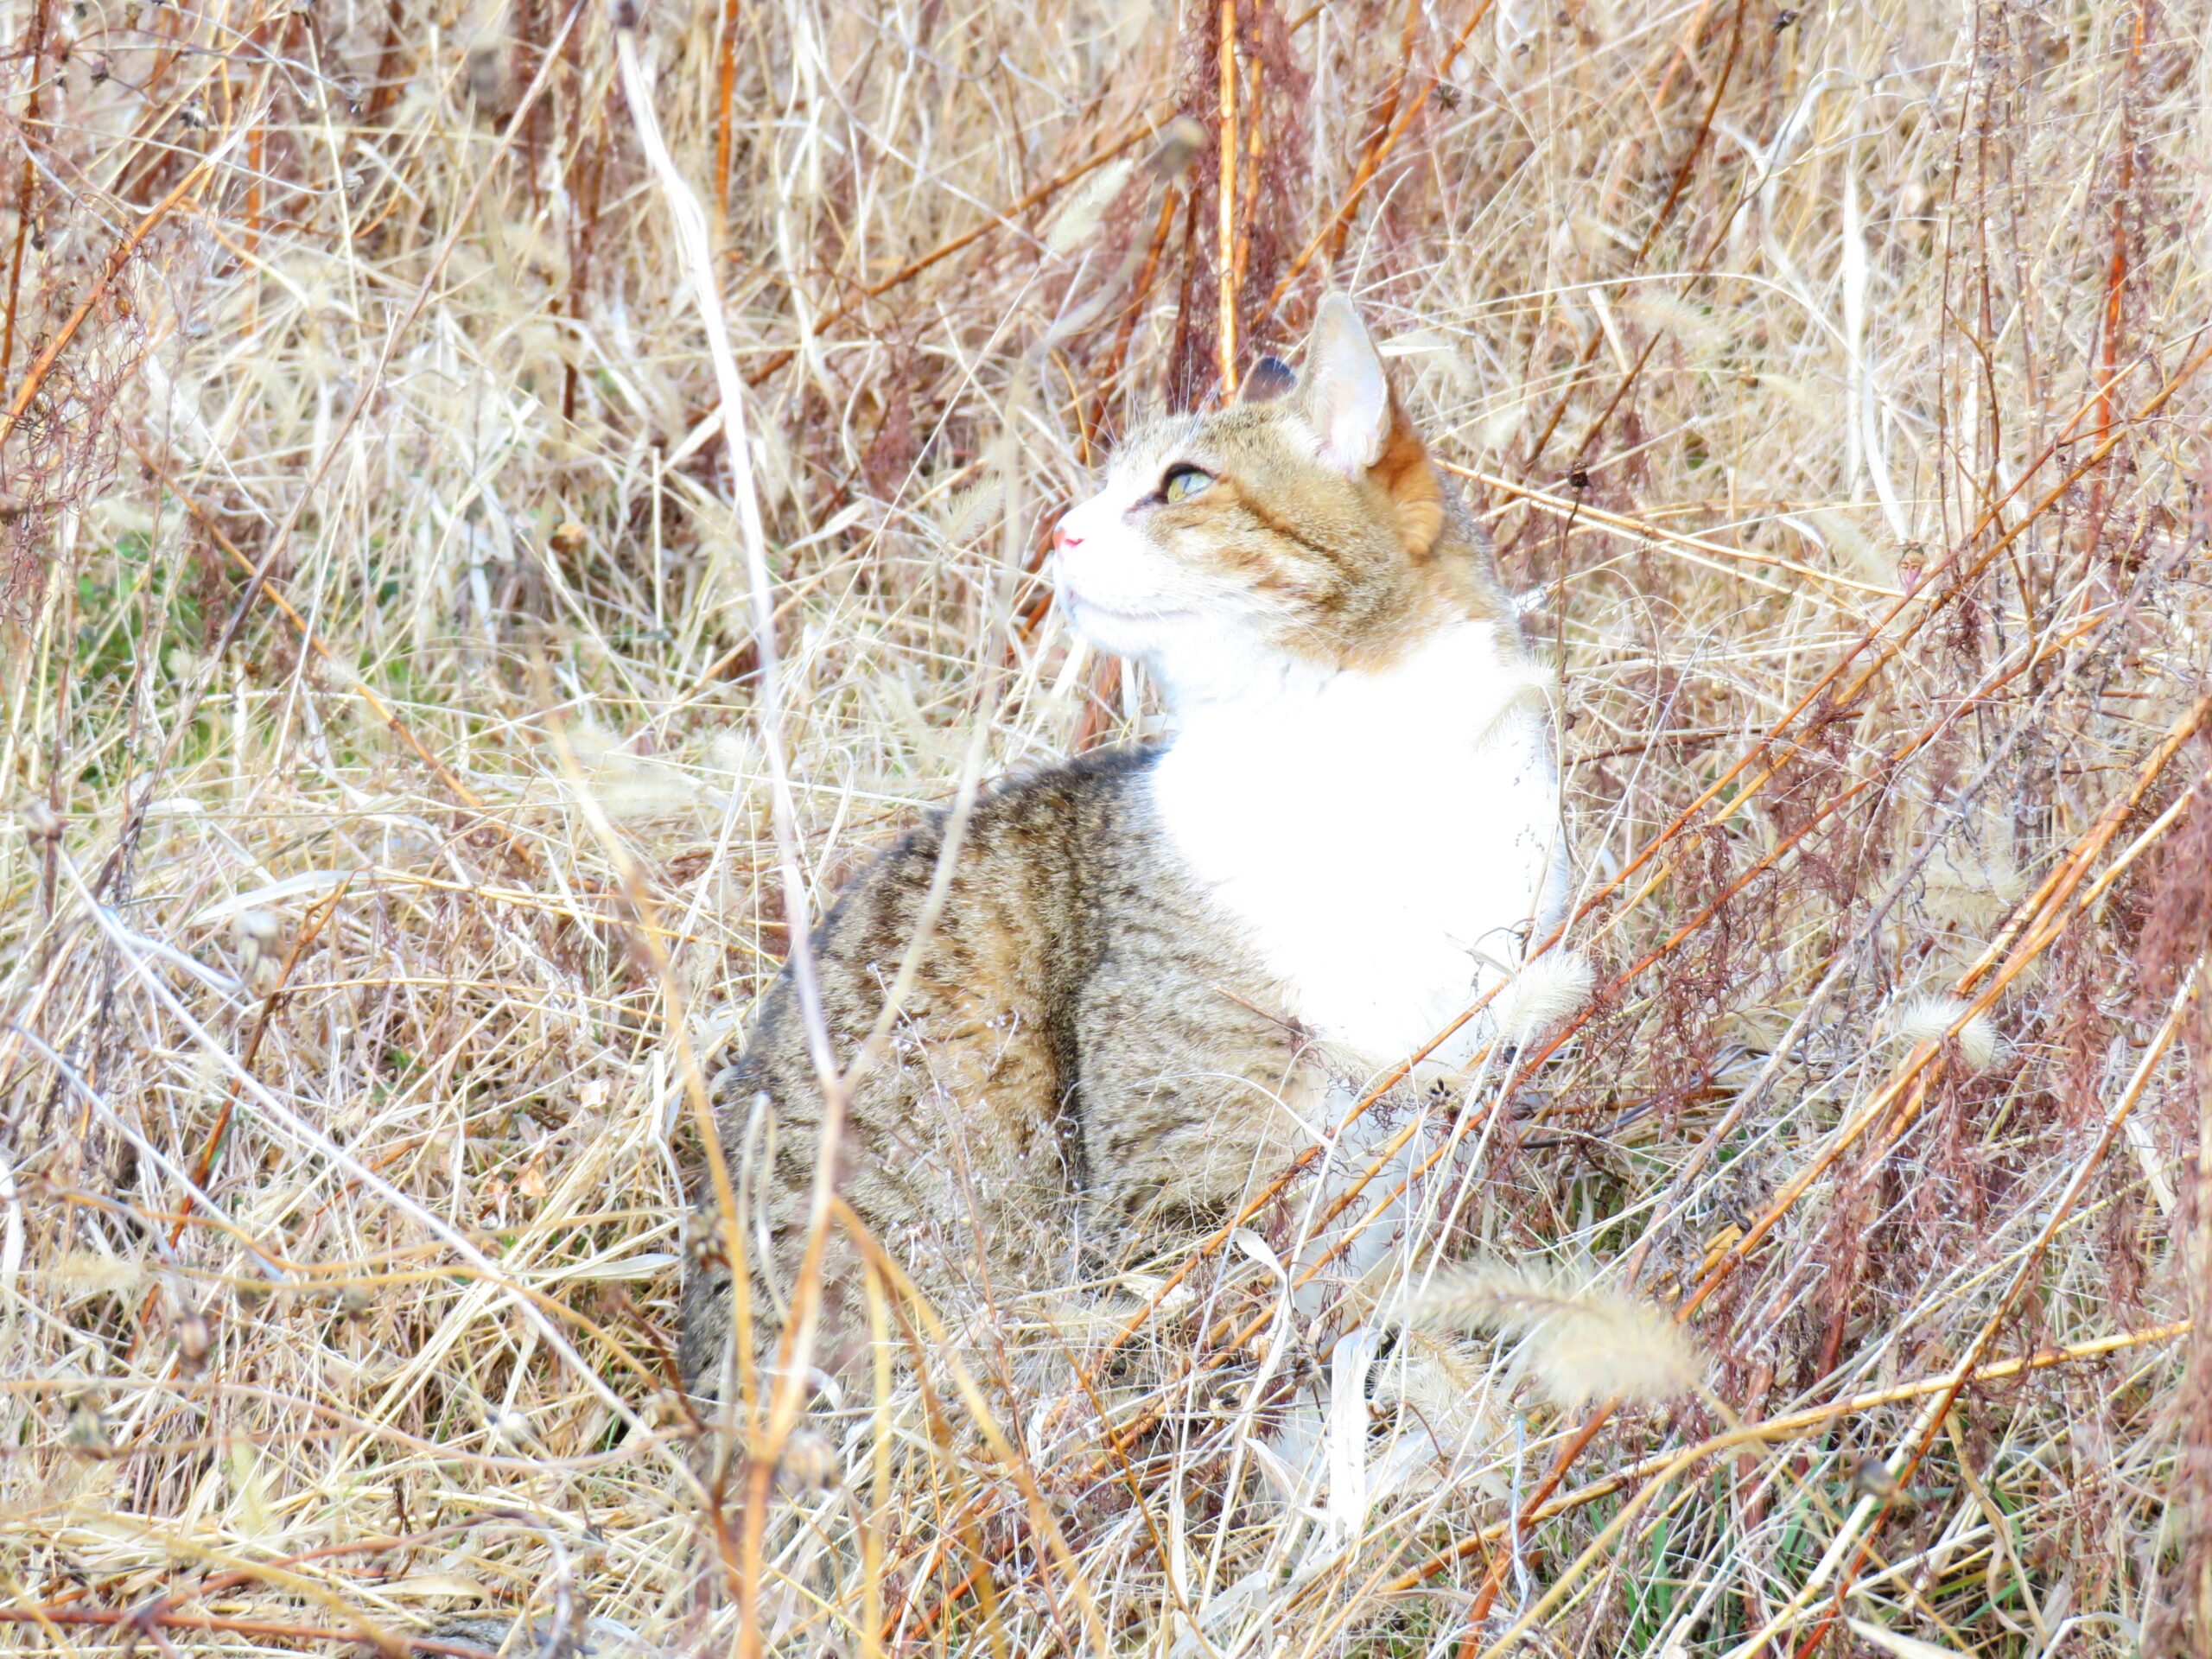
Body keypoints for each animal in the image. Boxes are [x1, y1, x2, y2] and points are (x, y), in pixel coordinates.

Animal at [677, 291, 1574, 1407]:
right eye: (1105, 488)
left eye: (1183, 483)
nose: (1059, 530)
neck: (1350, 764)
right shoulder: (1197, 1160)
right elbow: (1226, 1339)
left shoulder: (1444, 1089)